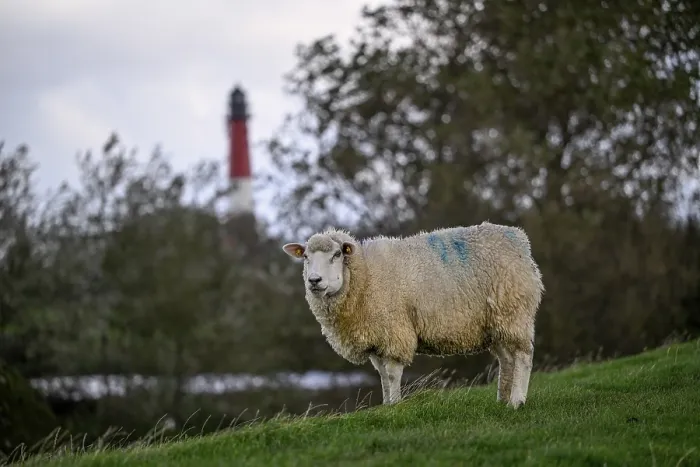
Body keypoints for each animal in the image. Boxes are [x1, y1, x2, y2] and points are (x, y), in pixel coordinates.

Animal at [282, 221, 545, 408]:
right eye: (305, 257)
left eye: (336, 255)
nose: (314, 281)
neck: (365, 277)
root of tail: (520, 241)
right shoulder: (376, 337)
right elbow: (382, 376)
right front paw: (386, 405)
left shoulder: (393, 331)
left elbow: (391, 373)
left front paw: (396, 406)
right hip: (496, 323)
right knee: (507, 358)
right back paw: (502, 399)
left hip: (513, 311)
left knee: (523, 355)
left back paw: (516, 402)